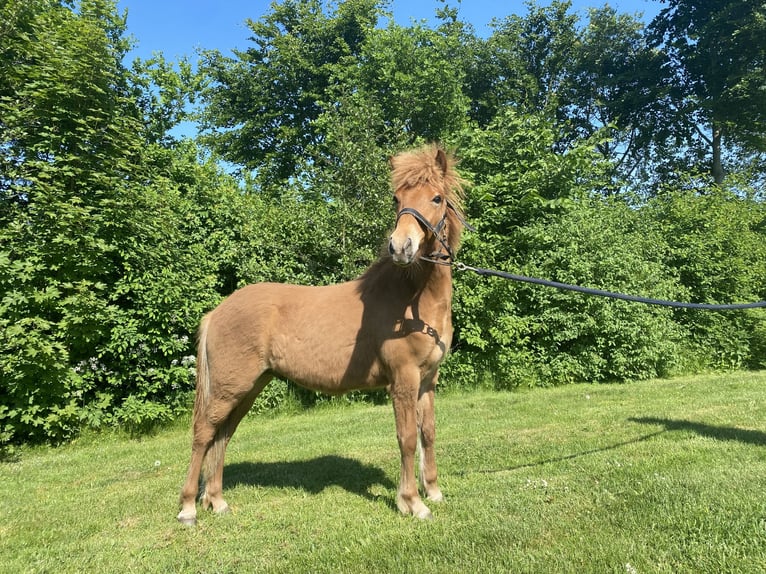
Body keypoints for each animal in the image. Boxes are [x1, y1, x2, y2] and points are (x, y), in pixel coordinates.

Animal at [178, 144, 472, 528]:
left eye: (436, 198)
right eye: (396, 199)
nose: (400, 247)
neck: (412, 299)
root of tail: (216, 313)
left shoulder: (427, 380)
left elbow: (429, 433)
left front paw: (433, 492)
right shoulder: (404, 380)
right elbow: (407, 438)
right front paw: (412, 502)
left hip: (247, 389)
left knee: (223, 435)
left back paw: (217, 500)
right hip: (229, 389)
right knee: (203, 434)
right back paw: (188, 508)